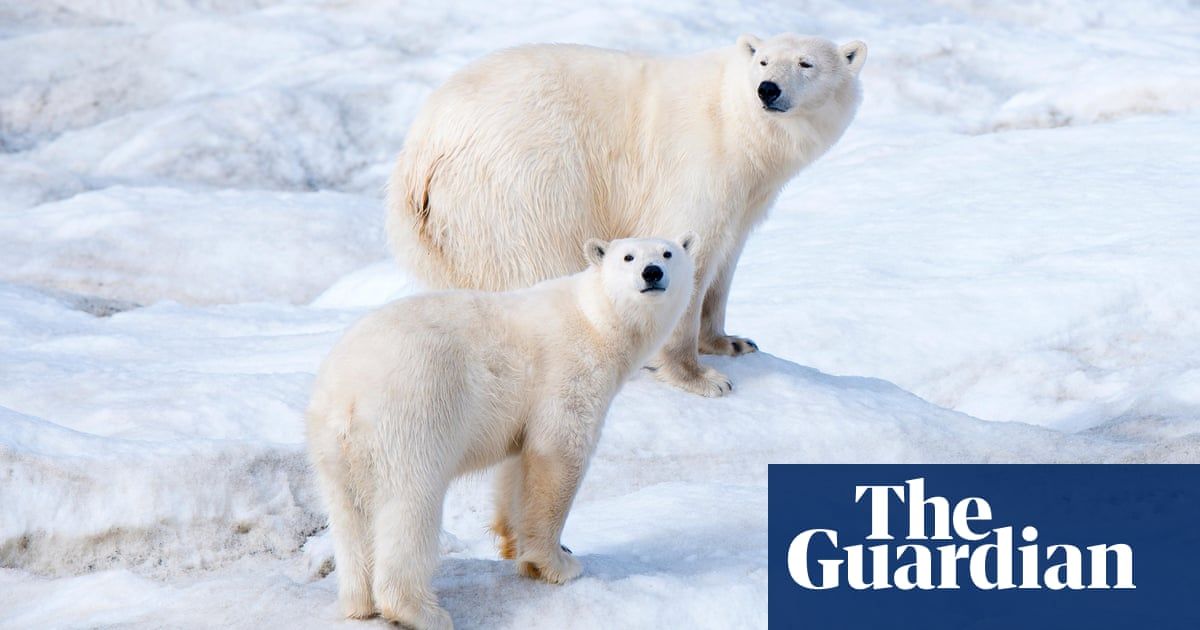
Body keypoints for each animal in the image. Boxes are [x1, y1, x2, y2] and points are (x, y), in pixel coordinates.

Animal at [306, 235, 696, 629]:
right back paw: (421, 611)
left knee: (349, 513)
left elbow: (517, 464)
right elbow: (558, 454)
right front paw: (557, 562)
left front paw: (515, 544)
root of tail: (347, 393)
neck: (597, 321)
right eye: (628, 256)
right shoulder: (568, 371)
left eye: (668, 253)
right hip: (412, 414)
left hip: (332, 447)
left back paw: (359, 602)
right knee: (410, 504)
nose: (652, 272)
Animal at [386, 33, 866, 397]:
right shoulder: (698, 165)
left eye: (805, 63)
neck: (737, 125)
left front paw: (732, 342)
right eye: (764, 61)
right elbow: (686, 248)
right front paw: (701, 378)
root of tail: (422, 148)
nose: (767, 88)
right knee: (535, 263)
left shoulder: (748, 194)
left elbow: (725, 261)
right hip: (524, 185)